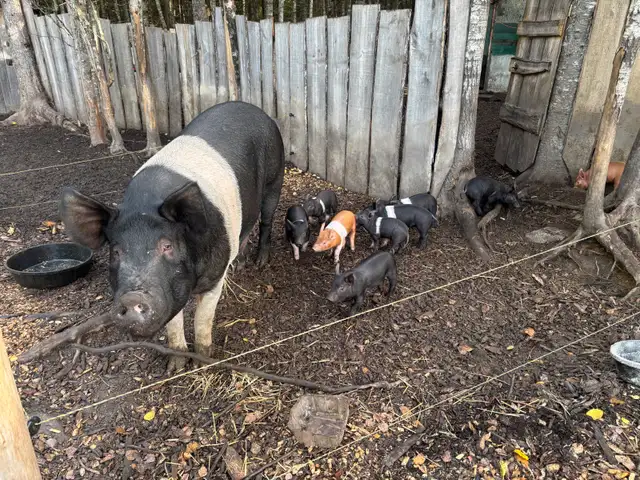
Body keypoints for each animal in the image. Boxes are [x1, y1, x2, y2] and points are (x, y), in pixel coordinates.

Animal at [59, 101, 285, 373]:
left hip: (275, 176)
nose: (132, 298)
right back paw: (239, 265)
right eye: (116, 251)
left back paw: (260, 262)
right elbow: (174, 324)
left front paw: (203, 363)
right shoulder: (169, 290)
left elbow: (202, 321)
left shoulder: (214, 279)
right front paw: (175, 367)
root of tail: (254, 109)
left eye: (167, 246)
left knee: (266, 219)